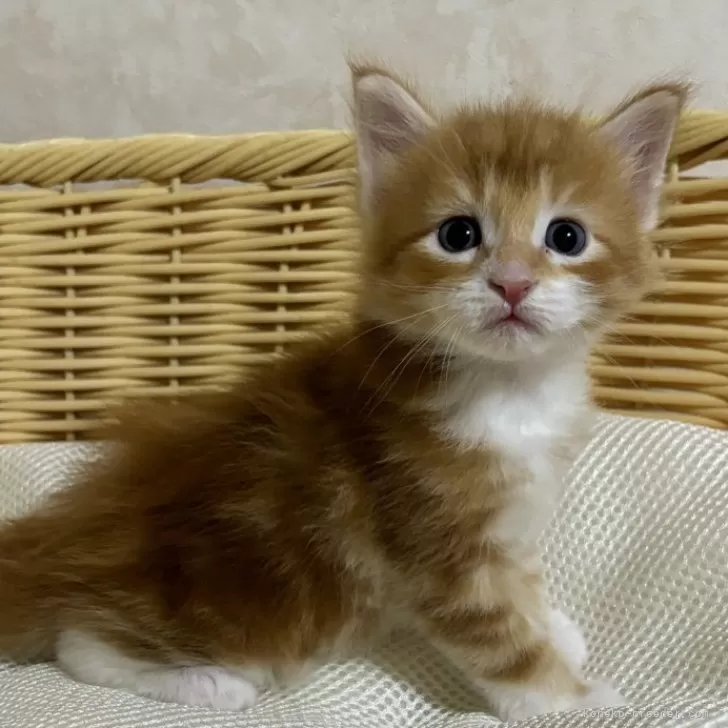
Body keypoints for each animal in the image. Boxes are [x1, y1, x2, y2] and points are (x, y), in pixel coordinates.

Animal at [0, 62, 685, 721]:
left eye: (566, 237)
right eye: (458, 235)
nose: (512, 283)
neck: (508, 390)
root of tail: (62, 542)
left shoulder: (508, 524)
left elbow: (525, 584)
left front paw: (556, 629)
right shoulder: (435, 543)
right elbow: (503, 644)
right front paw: (572, 700)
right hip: (240, 601)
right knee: (81, 644)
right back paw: (209, 682)